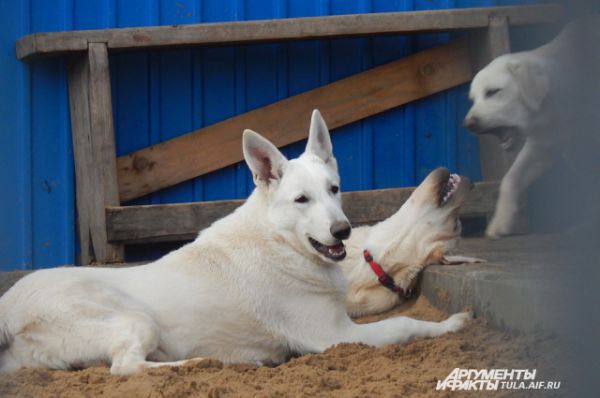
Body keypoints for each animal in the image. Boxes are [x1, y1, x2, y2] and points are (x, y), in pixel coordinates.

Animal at [464, 17, 600, 238]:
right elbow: (511, 178)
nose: (468, 124)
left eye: (493, 92)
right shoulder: (543, 145)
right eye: (473, 99)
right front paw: (501, 221)